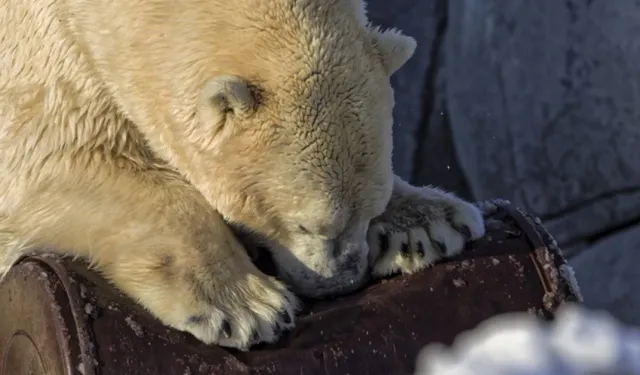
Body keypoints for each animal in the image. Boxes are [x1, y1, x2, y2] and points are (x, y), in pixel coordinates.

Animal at [0, 0, 482, 350]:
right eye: (305, 225)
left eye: (370, 210)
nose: (341, 282)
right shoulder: (42, 54)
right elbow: (53, 161)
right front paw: (249, 308)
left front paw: (428, 224)